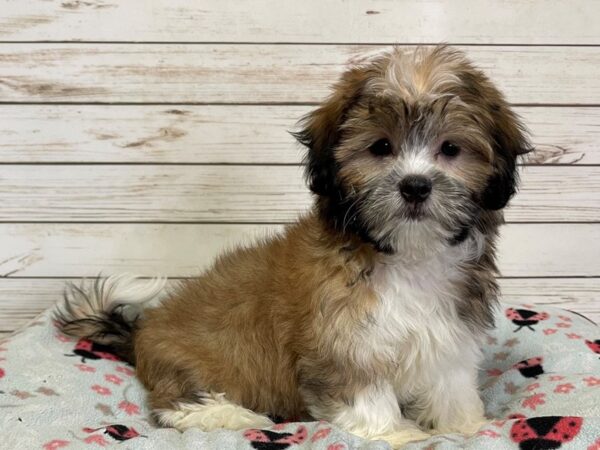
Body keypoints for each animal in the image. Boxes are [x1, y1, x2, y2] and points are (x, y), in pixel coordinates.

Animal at [58, 44, 528, 446]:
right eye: (381, 147)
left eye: (450, 148)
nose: (415, 186)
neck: (406, 255)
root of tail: (144, 331)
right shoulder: (343, 342)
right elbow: (366, 394)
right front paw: (395, 434)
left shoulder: (447, 332)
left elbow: (451, 384)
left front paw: (466, 426)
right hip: (191, 366)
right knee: (176, 406)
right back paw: (234, 416)